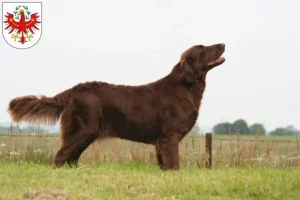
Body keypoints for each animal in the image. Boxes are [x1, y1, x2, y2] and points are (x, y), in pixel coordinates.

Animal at [7, 43, 225, 169]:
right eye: (203, 48)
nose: (223, 43)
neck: (186, 86)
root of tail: (74, 91)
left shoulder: (160, 141)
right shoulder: (169, 137)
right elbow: (173, 164)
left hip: (86, 134)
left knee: (71, 157)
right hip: (82, 130)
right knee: (61, 156)